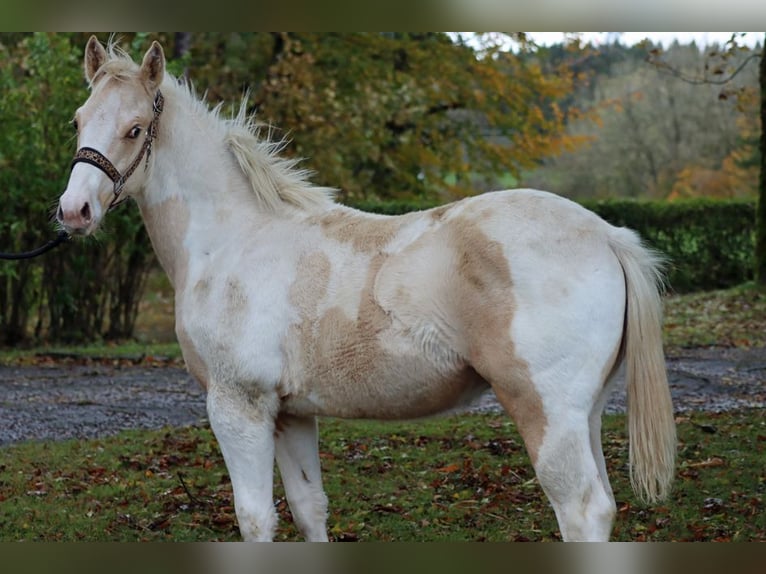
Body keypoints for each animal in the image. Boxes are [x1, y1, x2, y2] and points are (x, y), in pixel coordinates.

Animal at [55, 37, 680, 544]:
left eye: (136, 128)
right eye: (80, 119)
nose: (74, 211)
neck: (232, 239)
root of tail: (606, 235)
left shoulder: (238, 406)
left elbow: (256, 520)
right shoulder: (290, 414)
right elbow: (309, 509)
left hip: (546, 411)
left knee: (581, 510)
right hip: (585, 413)